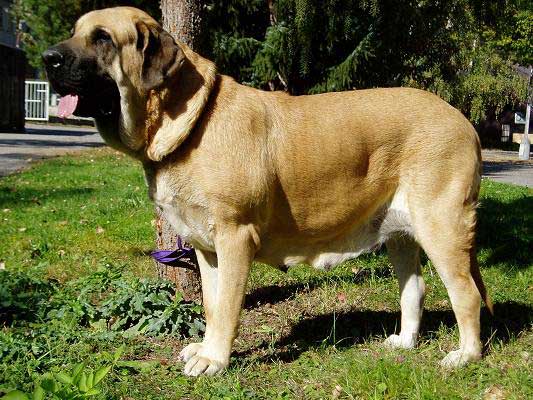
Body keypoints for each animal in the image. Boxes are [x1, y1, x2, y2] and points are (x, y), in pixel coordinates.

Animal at [43, 5, 492, 376]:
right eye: (75, 31)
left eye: (102, 38)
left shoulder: (235, 237)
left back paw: (465, 356)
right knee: (414, 289)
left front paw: (215, 360)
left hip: (442, 227)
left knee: (466, 294)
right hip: (401, 234)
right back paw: (404, 342)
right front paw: (205, 349)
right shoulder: (207, 248)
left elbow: (227, 307)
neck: (188, 123)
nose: (48, 58)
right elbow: (212, 305)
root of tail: (463, 121)